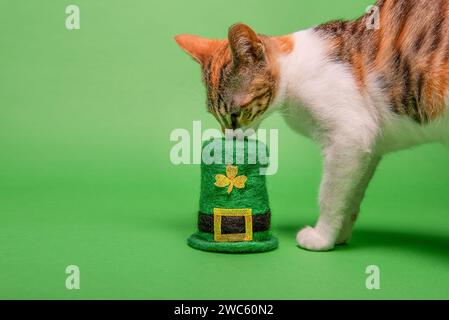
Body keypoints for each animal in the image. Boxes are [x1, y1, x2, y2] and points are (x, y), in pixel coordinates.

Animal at [174, 0, 448, 251]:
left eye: (234, 114)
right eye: (214, 115)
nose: (229, 137)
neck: (293, 70)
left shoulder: (350, 135)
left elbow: (330, 193)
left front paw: (321, 237)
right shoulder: (370, 148)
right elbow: (352, 195)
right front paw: (339, 234)